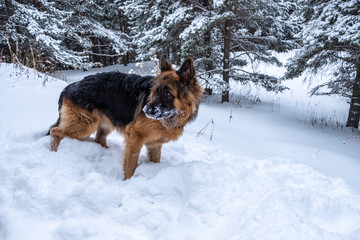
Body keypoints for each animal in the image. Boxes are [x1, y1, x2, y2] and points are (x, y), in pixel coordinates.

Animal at [47, 56, 202, 178]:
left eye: (168, 93)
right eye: (156, 91)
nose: (145, 110)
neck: (169, 118)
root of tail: (69, 87)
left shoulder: (155, 144)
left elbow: (154, 160)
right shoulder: (135, 137)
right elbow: (130, 166)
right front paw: (127, 182)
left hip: (103, 125)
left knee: (98, 139)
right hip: (84, 126)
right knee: (55, 132)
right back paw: (55, 153)